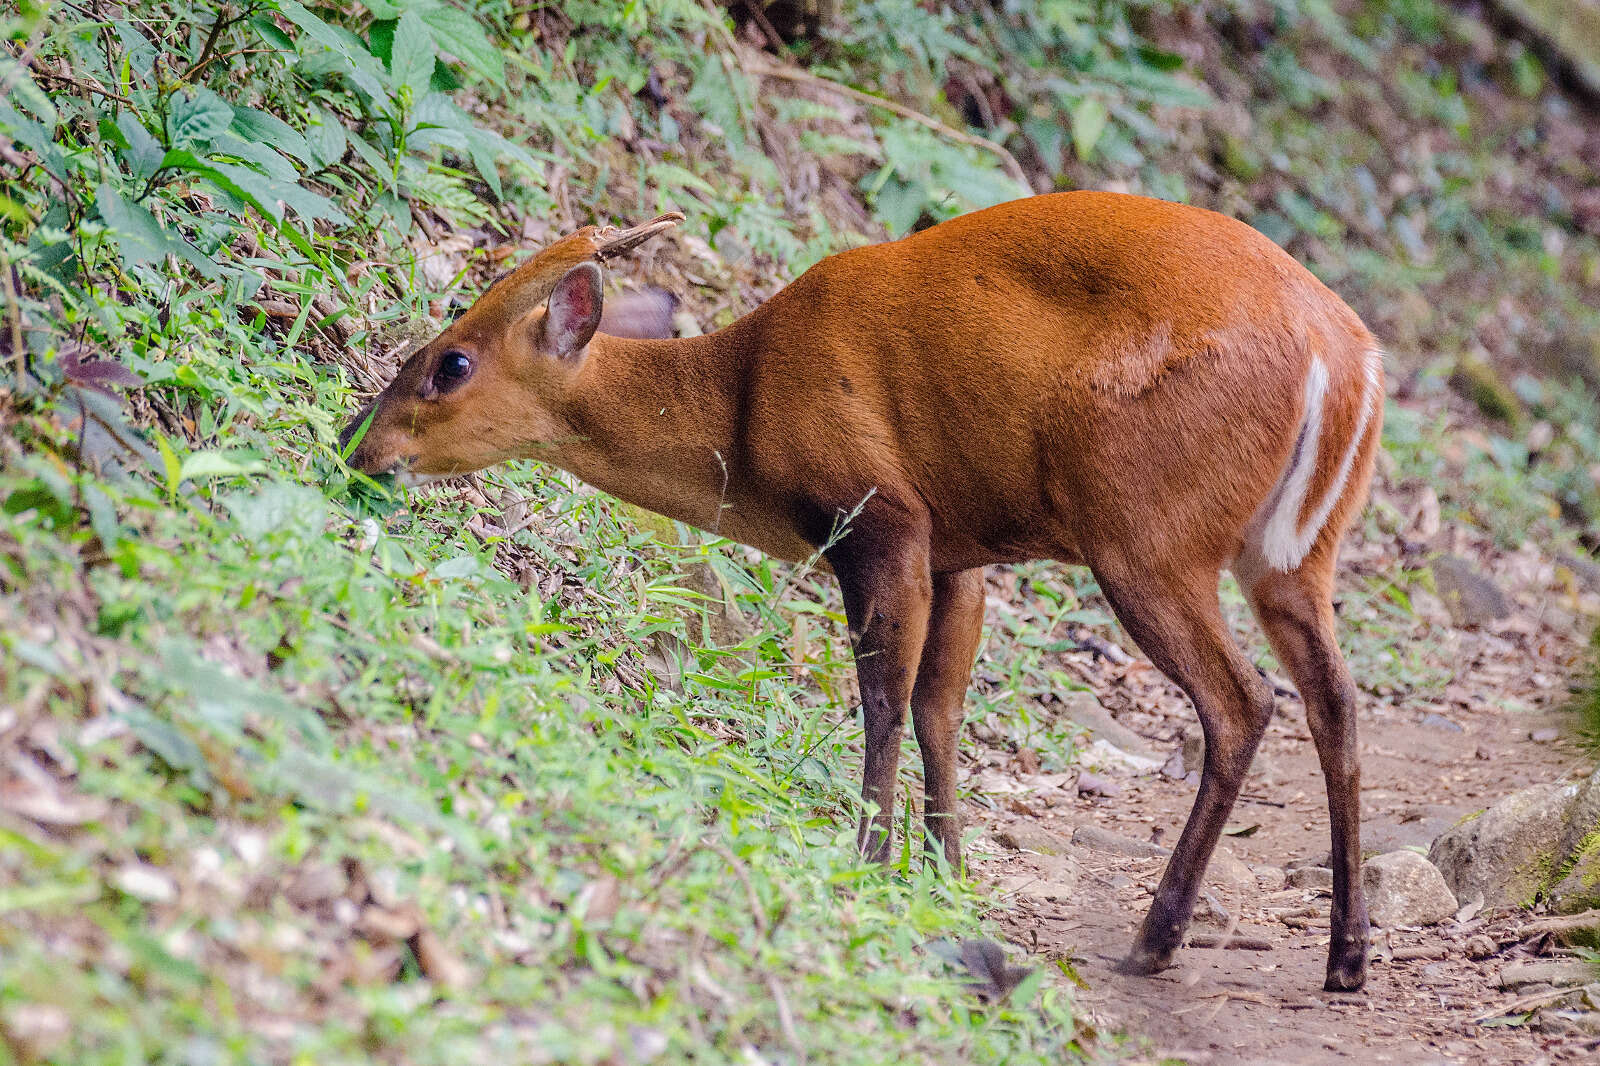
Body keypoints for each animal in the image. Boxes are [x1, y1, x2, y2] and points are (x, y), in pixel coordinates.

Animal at [344, 191, 1382, 985]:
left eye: (449, 363)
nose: (360, 449)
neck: (744, 407)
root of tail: (1349, 364)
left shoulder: (884, 513)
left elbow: (882, 701)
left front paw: (870, 868)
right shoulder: (960, 549)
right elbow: (939, 710)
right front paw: (947, 881)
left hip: (1144, 527)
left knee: (1244, 701)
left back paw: (1156, 940)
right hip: (1296, 552)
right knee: (1335, 698)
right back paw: (1346, 955)